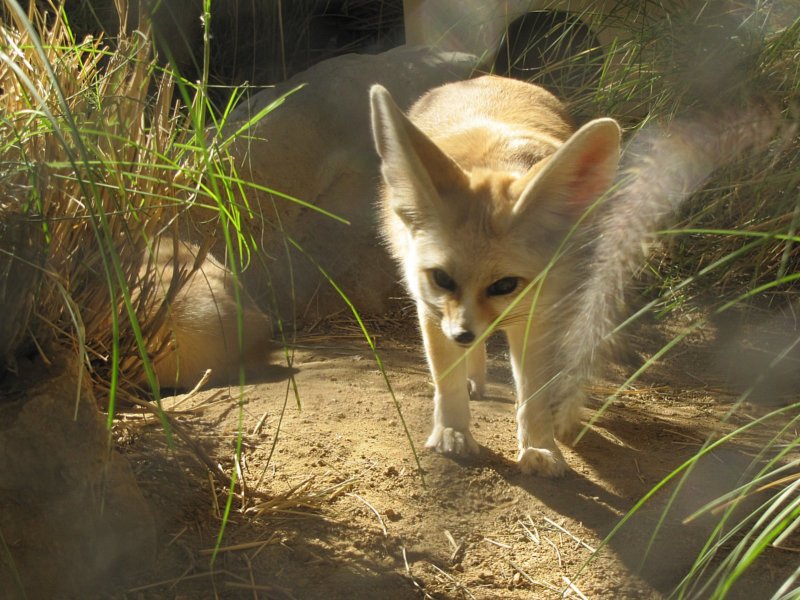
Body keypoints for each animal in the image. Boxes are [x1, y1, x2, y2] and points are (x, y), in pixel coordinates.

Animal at [372, 76, 620, 478]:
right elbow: (447, 381)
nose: (462, 335)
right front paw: (453, 432)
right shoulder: (432, 308)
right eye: (442, 278)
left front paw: (539, 444)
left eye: (504, 285)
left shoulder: (538, 315)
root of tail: (486, 77)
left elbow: (534, 392)